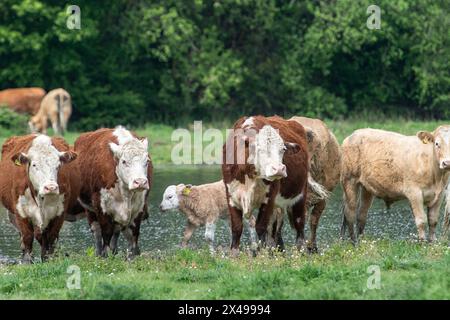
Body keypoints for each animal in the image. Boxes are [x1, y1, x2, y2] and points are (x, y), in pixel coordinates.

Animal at [0, 134, 79, 262]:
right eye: (34, 165)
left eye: (58, 166)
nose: (51, 187)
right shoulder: (20, 210)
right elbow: (27, 237)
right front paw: (27, 261)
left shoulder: (60, 211)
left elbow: (51, 237)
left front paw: (48, 259)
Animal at [71, 125, 153, 258]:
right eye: (124, 161)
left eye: (147, 161)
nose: (140, 182)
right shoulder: (101, 206)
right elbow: (106, 233)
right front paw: (106, 254)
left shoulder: (139, 207)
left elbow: (134, 234)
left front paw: (133, 254)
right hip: (90, 210)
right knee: (97, 232)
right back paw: (99, 253)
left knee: (116, 230)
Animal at [221, 115, 326, 252]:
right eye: (259, 149)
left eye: (283, 149)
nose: (279, 169)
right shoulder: (231, 197)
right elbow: (237, 228)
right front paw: (234, 253)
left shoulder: (268, 199)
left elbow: (261, 227)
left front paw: (262, 254)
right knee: (274, 228)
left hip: (300, 196)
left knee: (299, 226)